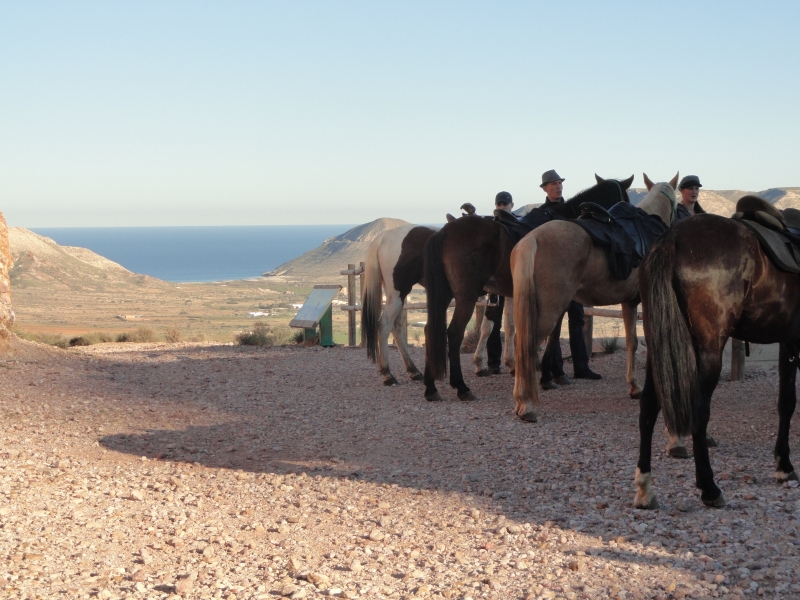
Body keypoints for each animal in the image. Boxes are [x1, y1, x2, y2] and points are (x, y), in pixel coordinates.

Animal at [422, 177, 636, 404]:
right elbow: (552, 334)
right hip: (466, 296)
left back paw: (430, 387)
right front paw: (549, 376)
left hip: (445, 294)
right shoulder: (557, 299)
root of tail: (444, 232)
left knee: (430, 330)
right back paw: (461, 387)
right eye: (625, 198)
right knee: (454, 333)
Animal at [512, 173, 676, 422]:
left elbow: (631, 342)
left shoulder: (629, 302)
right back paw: (526, 404)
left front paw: (634, 387)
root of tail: (533, 239)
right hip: (548, 312)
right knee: (527, 346)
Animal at [632, 203, 800, 510]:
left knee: (648, 405)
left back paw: (645, 488)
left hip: (657, 346)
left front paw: (783, 464)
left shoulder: (788, 339)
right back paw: (709, 488)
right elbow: (789, 403)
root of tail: (672, 237)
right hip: (708, 352)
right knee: (699, 413)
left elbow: (786, 402)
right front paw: (784, 464)